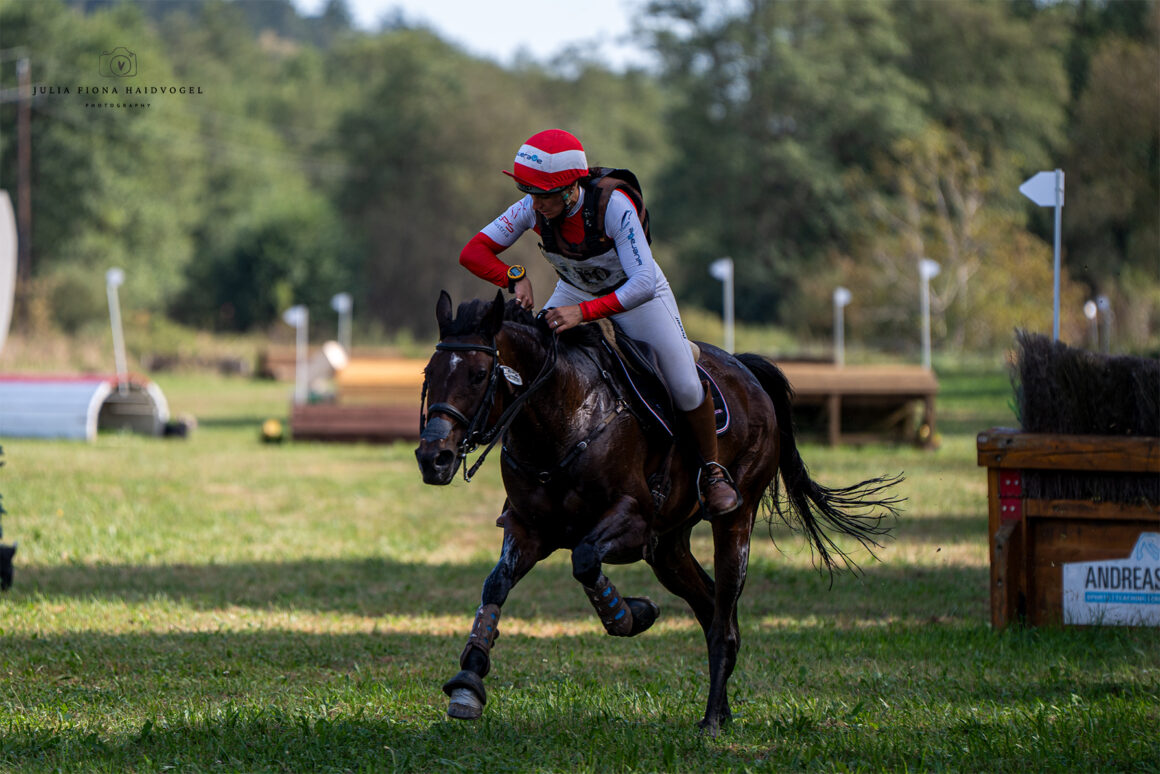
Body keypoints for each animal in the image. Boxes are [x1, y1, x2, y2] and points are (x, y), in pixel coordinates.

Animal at [412, 290, 900, 733]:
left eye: (479, 374)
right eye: (428, 373)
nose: (433, 458)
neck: (565, 416)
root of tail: (748, 372)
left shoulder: (632, 522)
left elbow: (584, 560)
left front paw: (631, 615)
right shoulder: (528, 529)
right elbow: (496, 584)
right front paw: (467, 682)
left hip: (733, 522)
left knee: (723, 616)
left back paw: (711, 720)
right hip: (668, 548)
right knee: (711, 608)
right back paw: (721, 708)